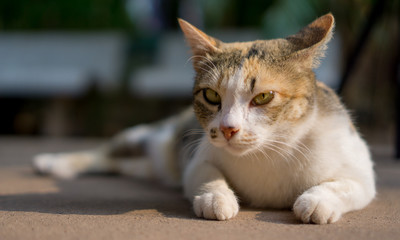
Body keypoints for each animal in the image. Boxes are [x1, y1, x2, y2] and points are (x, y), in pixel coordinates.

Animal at [33, 12, 376, 223]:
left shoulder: (358, 166)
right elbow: (205, 174)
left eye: (263, 97)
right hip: (151, 137)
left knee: (116, 163)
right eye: (211, 96)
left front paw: (317, 201)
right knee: (106, 151)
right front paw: (216, 198)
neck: (270, 152)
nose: (228, 129)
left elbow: (347, 185)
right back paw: (54, 162)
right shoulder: (198, 156)